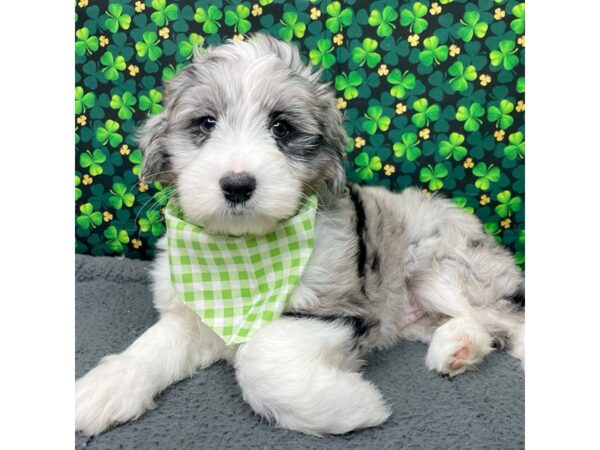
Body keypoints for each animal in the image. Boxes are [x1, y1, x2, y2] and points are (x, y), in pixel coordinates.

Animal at [76, 35, 524, 436]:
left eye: (282, 128)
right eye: (205, 124)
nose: (237, 185)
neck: (241, 251)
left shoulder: (339, 309)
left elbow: (259, 356)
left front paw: (354, 404)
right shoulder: (195, 311)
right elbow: (155, 343)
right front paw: (107, 386)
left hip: (440, 265)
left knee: (506, 320)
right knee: (484, 326)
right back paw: (457, 348)